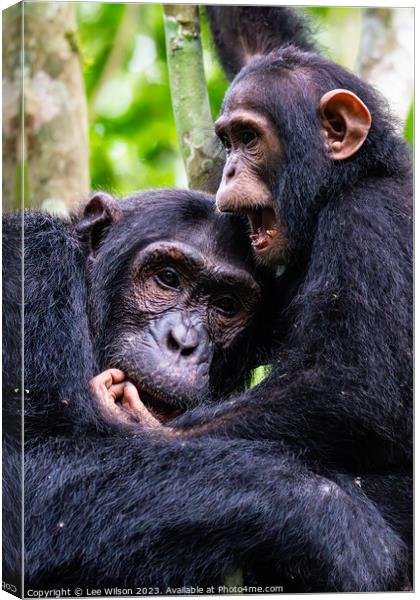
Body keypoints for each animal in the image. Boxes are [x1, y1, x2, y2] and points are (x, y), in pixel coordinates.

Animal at [128, 5, 410, 592]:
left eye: (249, 138)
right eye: (228, 139)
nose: (232, 167)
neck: (348, 182)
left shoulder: (369, 223)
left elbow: (351, 390)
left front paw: (136, 427)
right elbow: (256, 38)